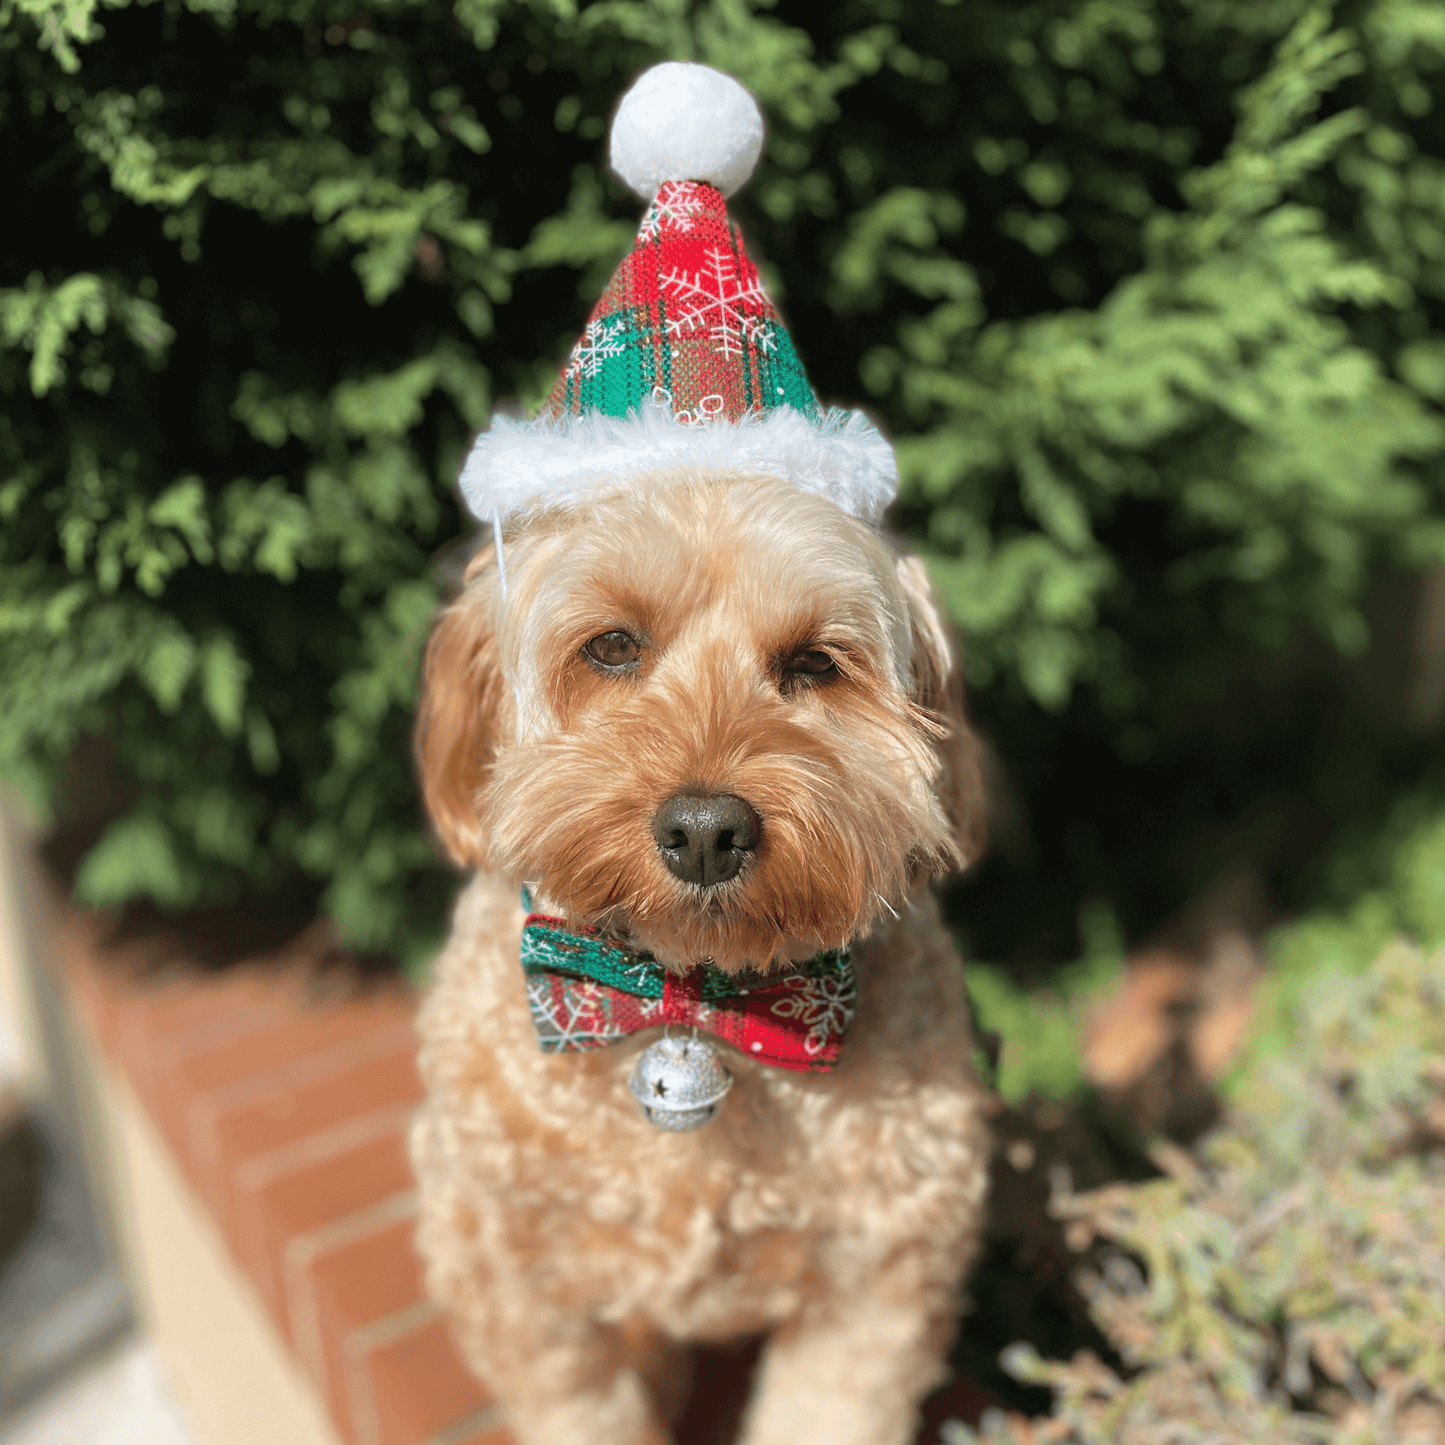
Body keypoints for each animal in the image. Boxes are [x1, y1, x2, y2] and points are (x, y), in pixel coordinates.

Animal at [407, 471, 994, 1445]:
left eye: (813, 663)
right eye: (612, 645)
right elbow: (586, 1411)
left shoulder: (879, 1281)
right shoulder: (514, 1282)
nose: (706, 830)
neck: (688, 999)